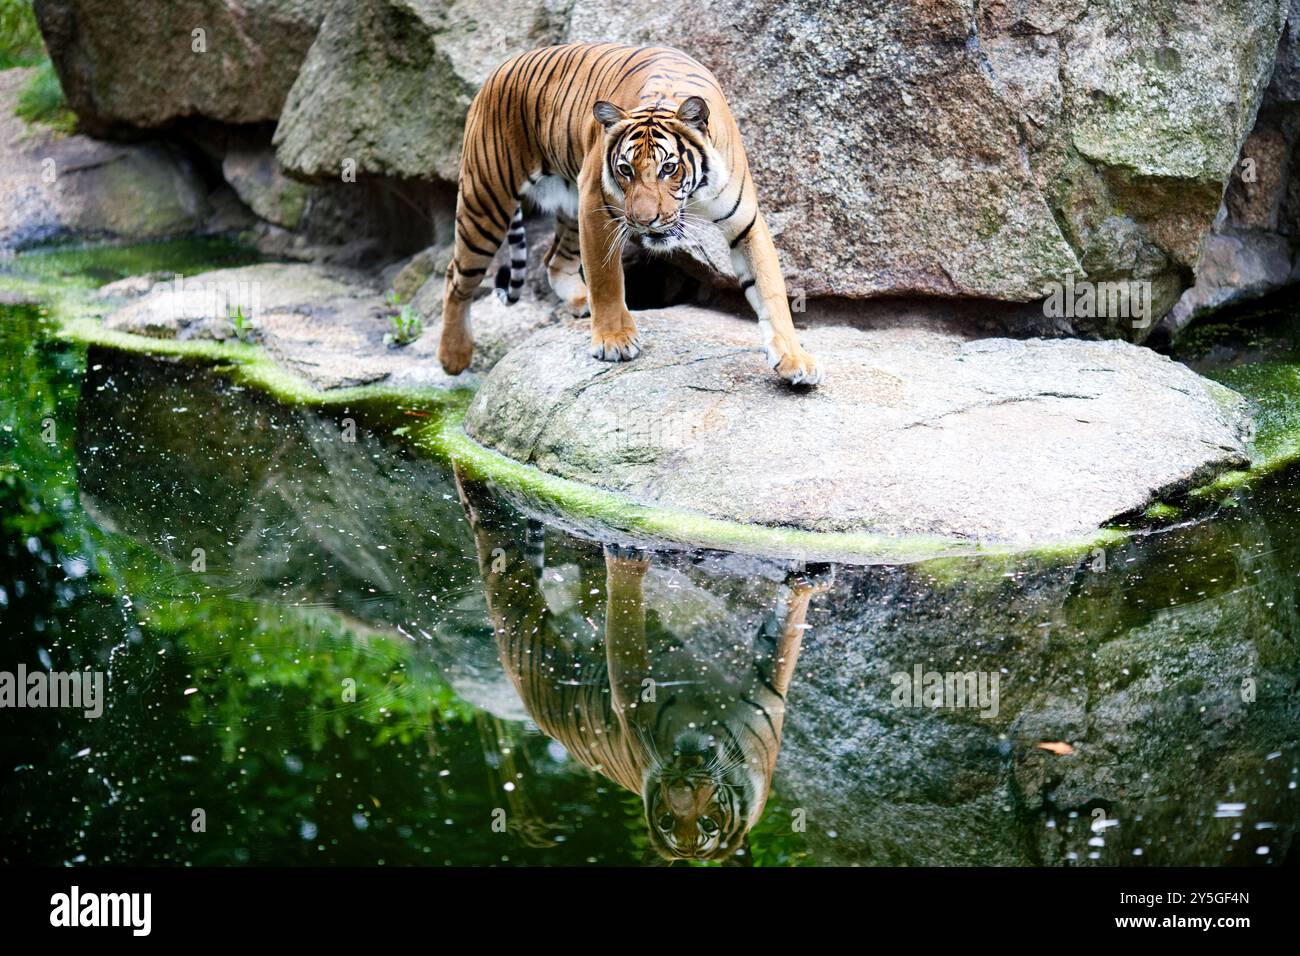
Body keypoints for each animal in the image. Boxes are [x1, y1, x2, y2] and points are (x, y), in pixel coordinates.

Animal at [436, 41, 821, 385]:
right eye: (625, 170)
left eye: (669, 168)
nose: (643, 221)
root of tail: (499, 69)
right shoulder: (596, 203)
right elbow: (606, 278)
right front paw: (614, 340)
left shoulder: (747, 224)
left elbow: (770, 290)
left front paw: (795, 359)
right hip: (485, 199)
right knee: (456, 276)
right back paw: (453, 356)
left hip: (567, 200)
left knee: (553, 260)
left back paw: (580, 301)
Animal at [452, 465, 826, 868]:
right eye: (665, 820)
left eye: (709, 824)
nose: (680, 784)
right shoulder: (631, 697)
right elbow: (626, 618)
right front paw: (627, 557)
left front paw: (808, 577)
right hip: (512, 595)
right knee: (486, 522)